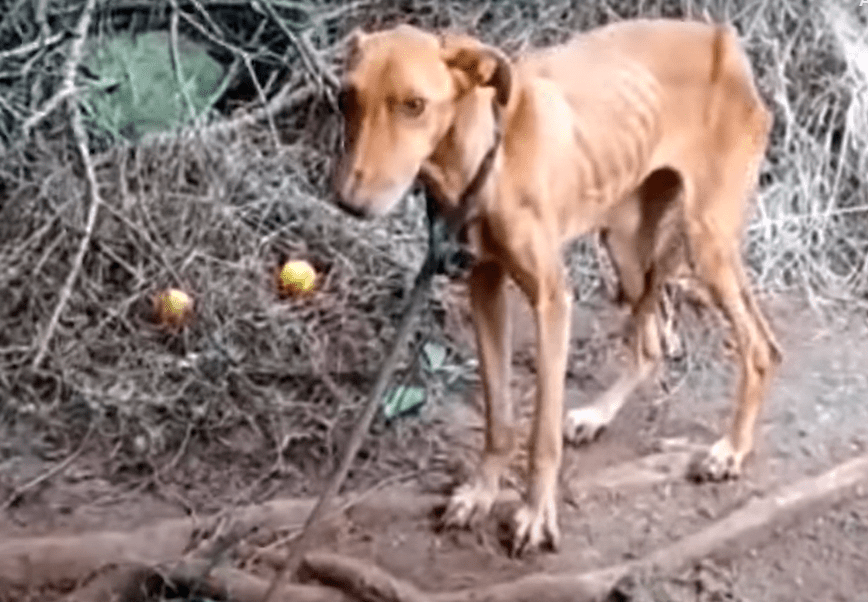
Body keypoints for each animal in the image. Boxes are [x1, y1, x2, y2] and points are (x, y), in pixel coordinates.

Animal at [330, 17, 780, 552]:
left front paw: (535, 515)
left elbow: (540, 434)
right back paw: (597, 416)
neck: (486, 162)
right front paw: (481, 493)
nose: (348, 203)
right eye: (346, 98)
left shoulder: (551, 301)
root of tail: (724, 40)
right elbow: (499, 418)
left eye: (414, 105)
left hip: (707, 243)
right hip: (625, 241)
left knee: (761, 347)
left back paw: (730, 451)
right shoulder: (483, 287)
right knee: (650, 347)